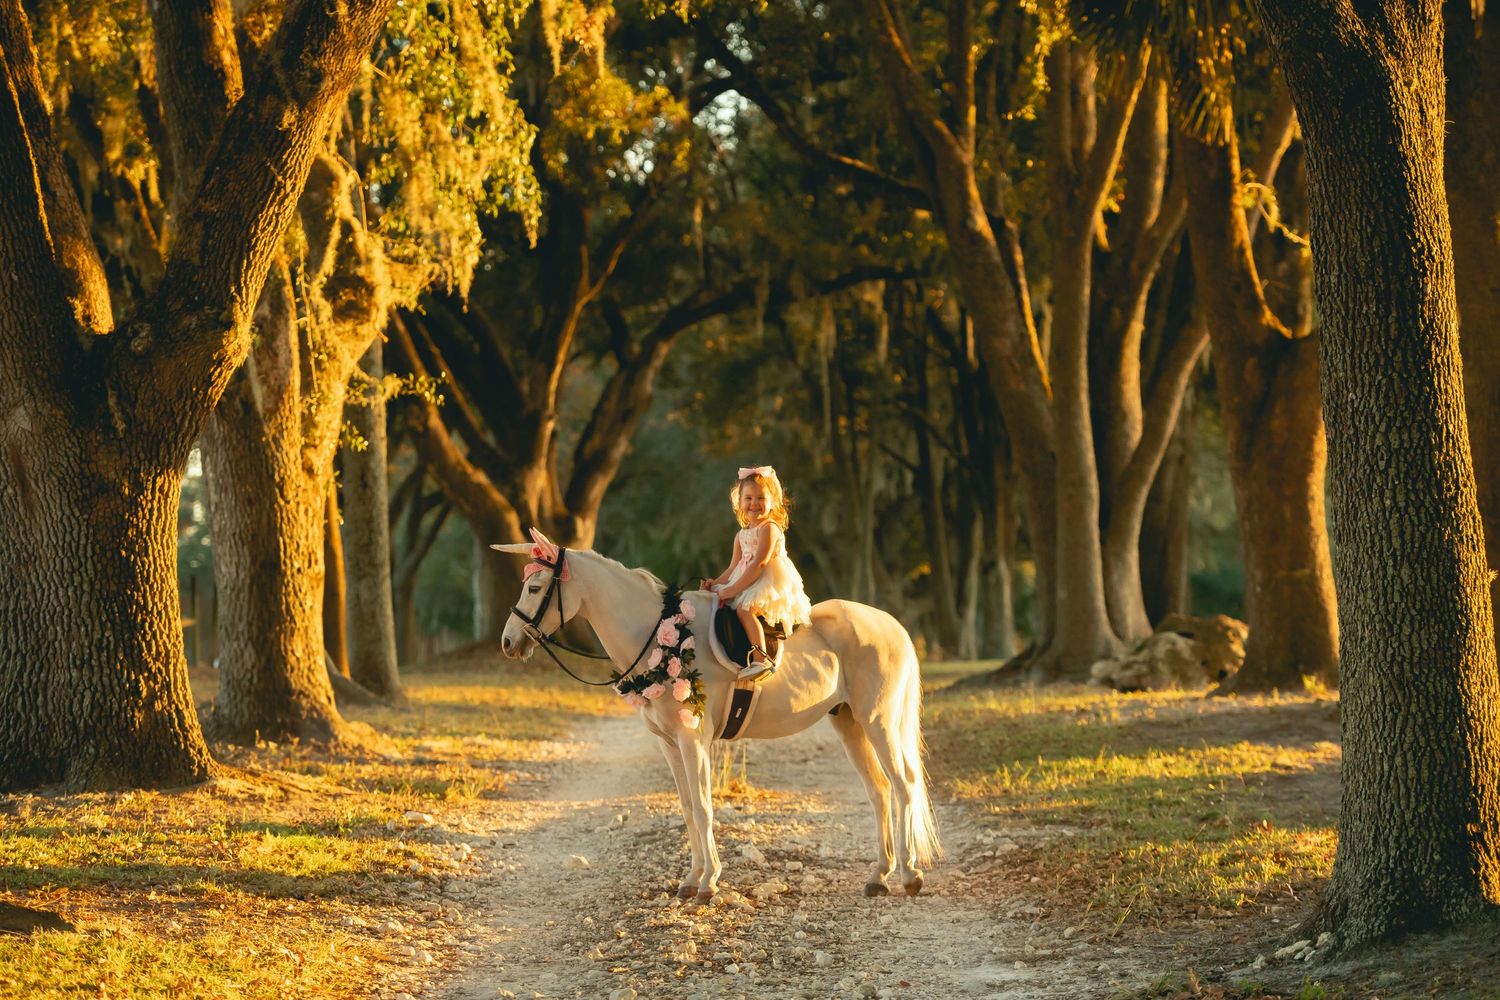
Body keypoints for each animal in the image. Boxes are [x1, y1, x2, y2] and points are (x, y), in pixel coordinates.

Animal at [493, 529, 941, 901]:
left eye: (535, 586)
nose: (508, 643)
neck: (659, 636)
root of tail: (891, 625)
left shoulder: (693, 740)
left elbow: (705, 807)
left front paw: (708, 884)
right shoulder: (669, 745)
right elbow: (689, 809)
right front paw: (691, 881)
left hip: (879, 723)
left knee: (903, 785)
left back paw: (909, 876)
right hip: (849, 723)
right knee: (879, 791)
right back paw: (879, 876)